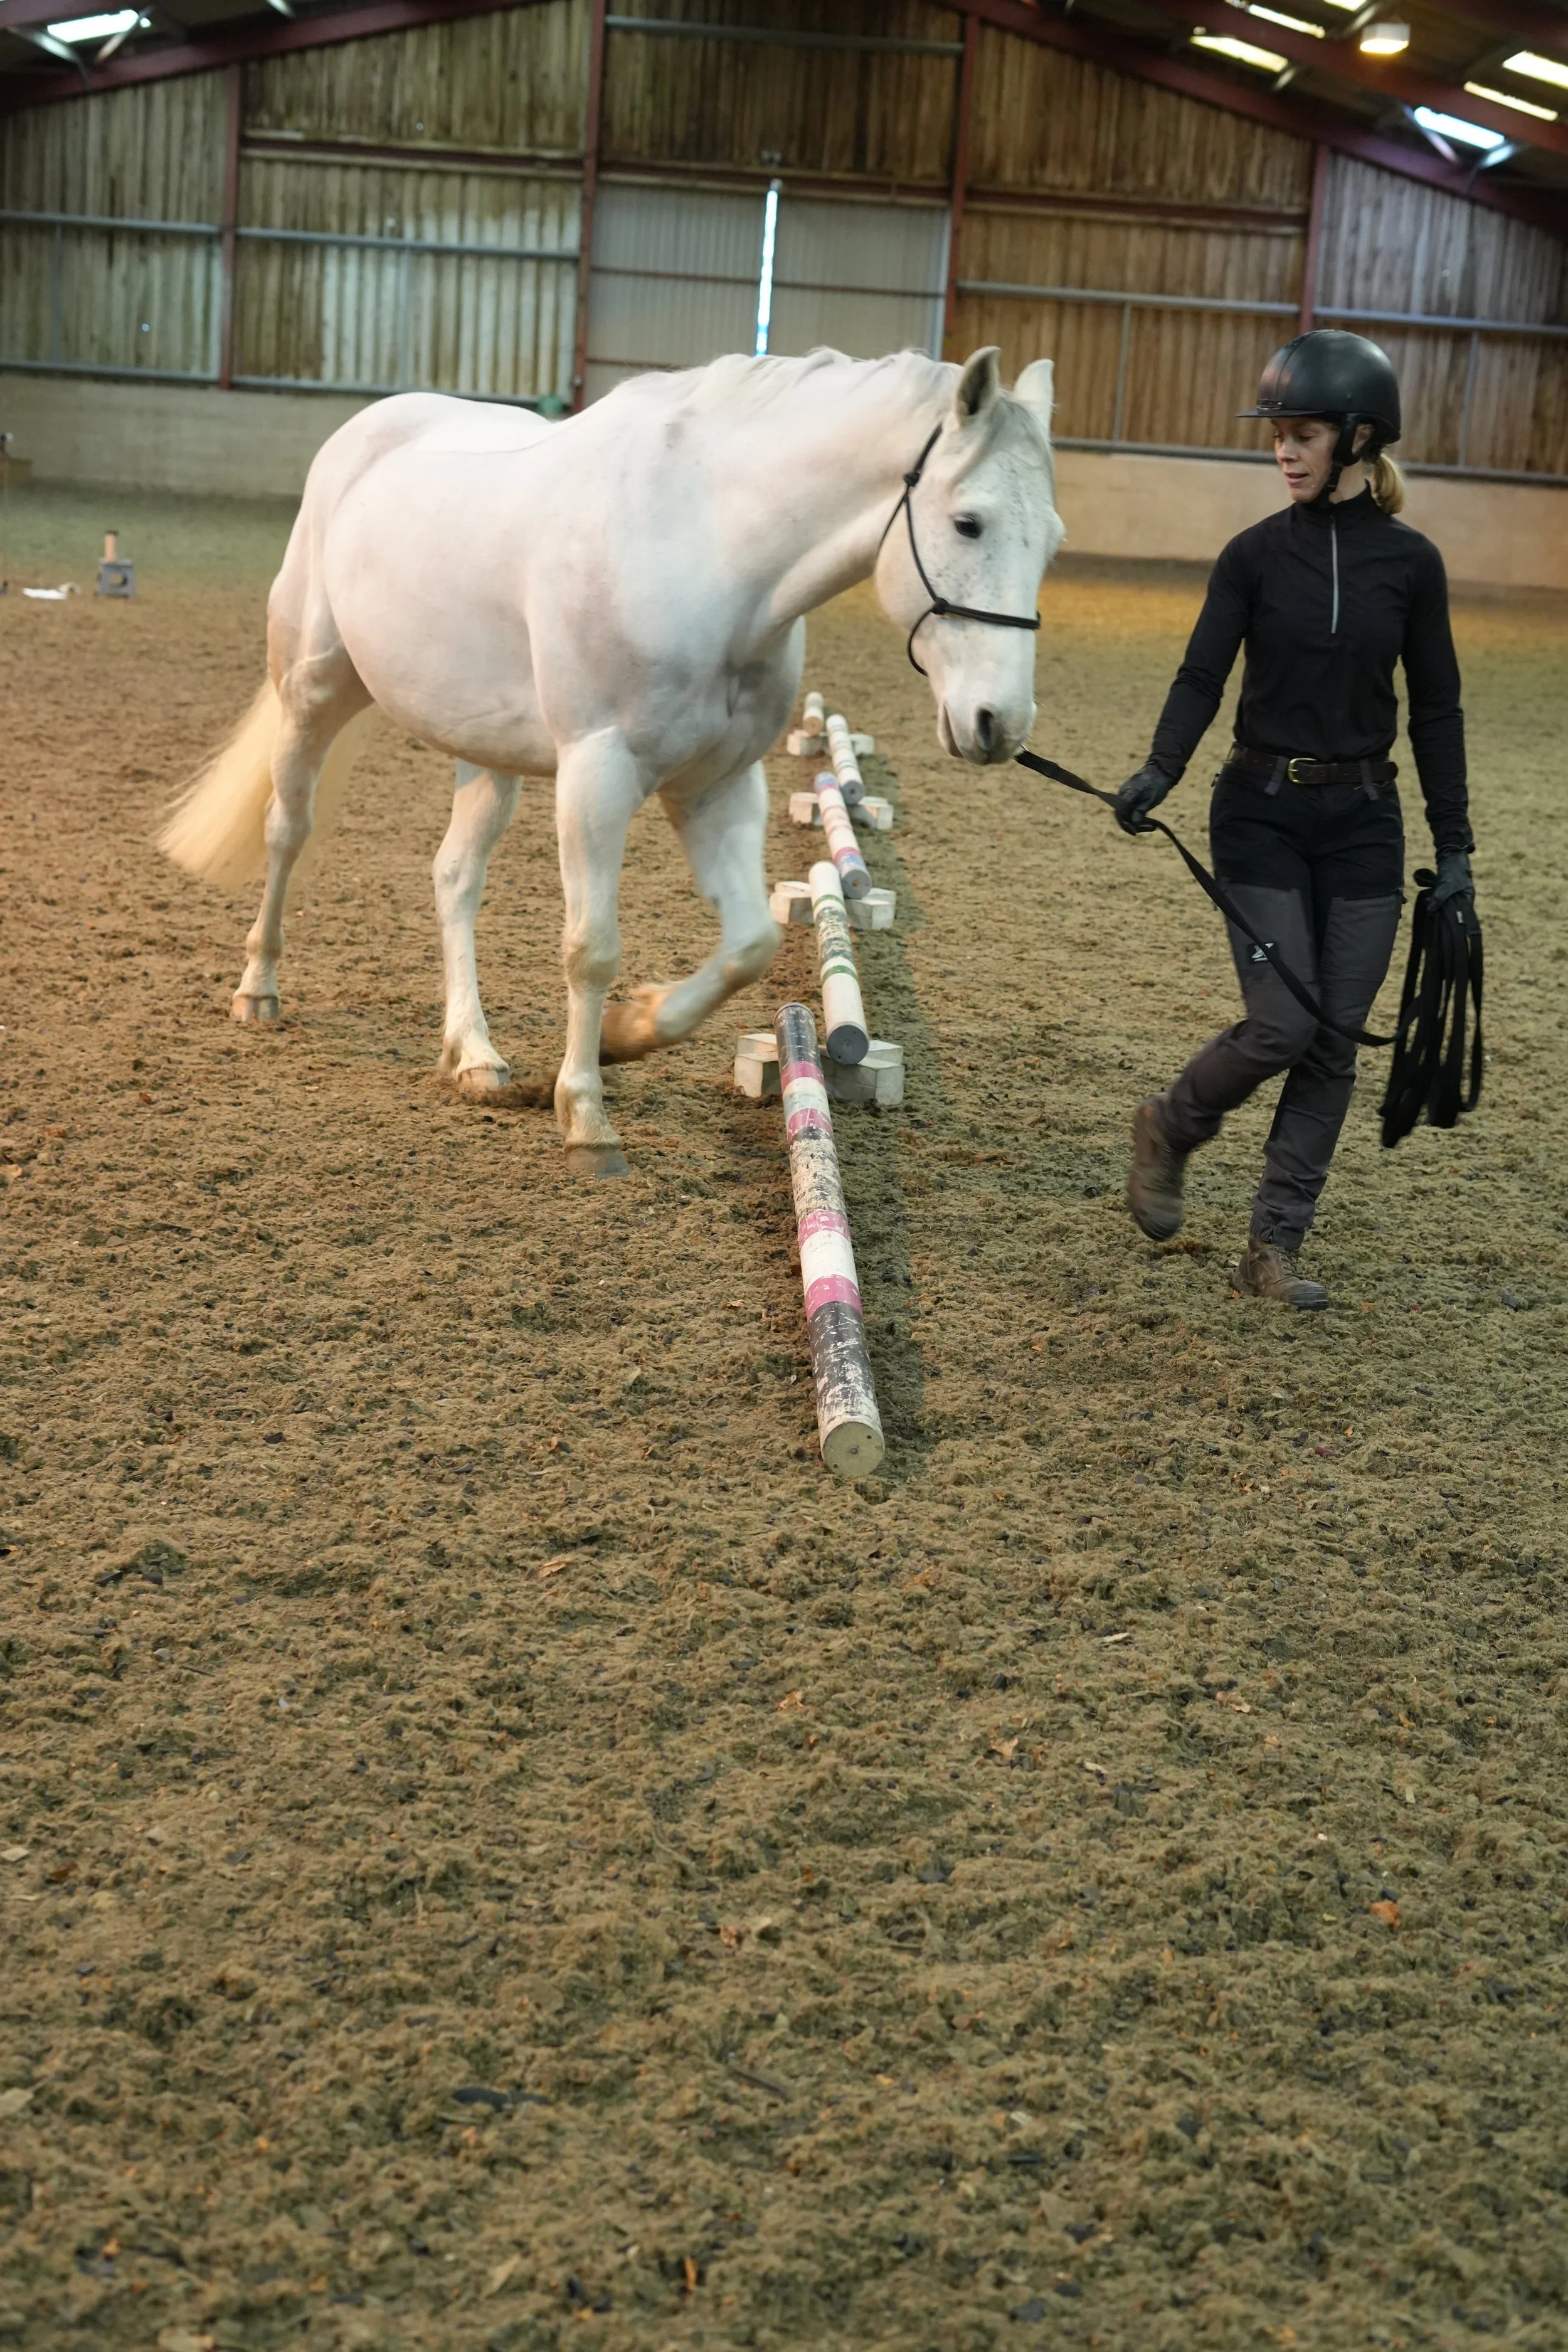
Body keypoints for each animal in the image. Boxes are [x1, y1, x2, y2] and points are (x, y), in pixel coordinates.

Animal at [159, 344, 1063, 1174]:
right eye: (969, 522)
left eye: (1052, 541)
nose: (999, 723)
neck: (709, 553)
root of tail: (363, 433)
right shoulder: (598, 777)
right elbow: (591, 948)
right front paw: (586, 1114)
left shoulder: (719, 788)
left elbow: (749, 945)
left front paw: (631, 1031)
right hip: (314, 692)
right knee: (287, 829)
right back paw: (259, 989)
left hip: (486, 754)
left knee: (455, 878)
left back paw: (475, 1054)